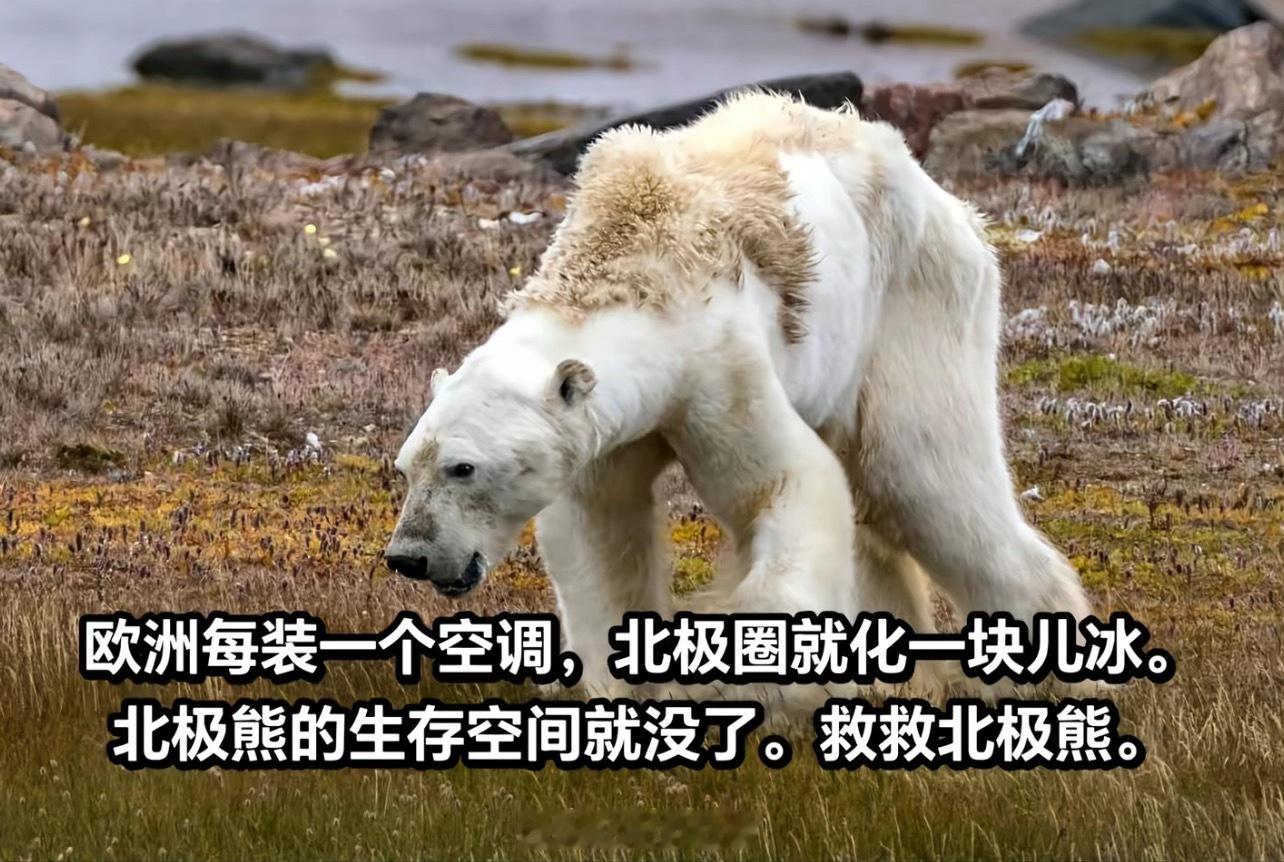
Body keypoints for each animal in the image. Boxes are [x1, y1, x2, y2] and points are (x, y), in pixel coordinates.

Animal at [384, 92, 1091, 697]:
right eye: (406, 466)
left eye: (463, 467)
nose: (409, 557)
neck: (628, 264)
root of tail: (949, 201)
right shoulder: (606, 431)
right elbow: (600, 532)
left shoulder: (716, 368)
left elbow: (784, 485)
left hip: (913, 301)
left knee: (923, 478)